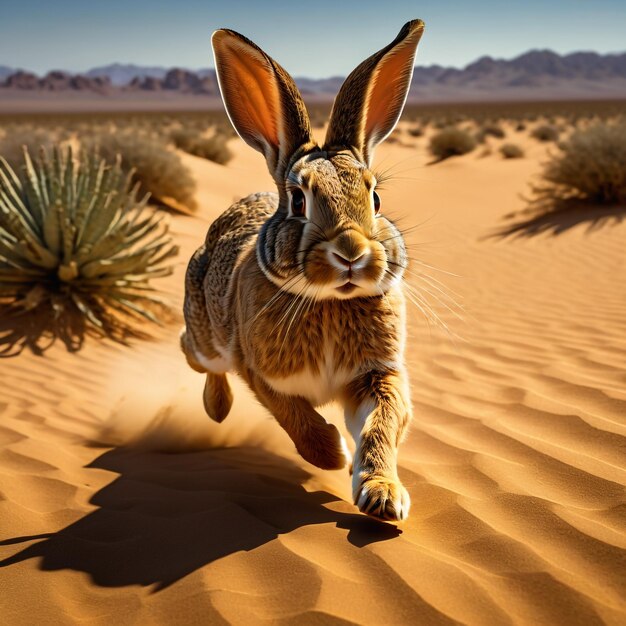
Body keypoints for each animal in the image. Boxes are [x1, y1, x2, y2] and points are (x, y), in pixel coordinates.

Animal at [180, 19, 424, 520]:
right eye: (298, 200)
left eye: (375, 197)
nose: (351, 251)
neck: (330, 301)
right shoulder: (260, 372)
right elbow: (299, 424)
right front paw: (337, 454)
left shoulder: (378, 375)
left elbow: (382, 426)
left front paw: (382, 495)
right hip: (205, 338)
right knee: (195, 355)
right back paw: (216, 409)